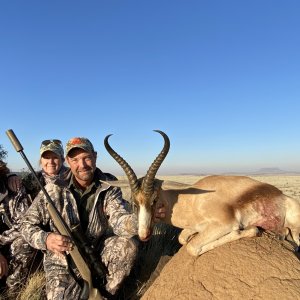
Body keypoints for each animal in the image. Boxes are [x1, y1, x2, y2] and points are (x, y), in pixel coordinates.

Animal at [102, 131, 300, 255]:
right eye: (134, 202)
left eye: (155, 199)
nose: (144, 235)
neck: (192, 202)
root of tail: (281, 195)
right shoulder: (193, 227)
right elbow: (183, 239)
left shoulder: (225, 224)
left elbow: (192, 247)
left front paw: (249, 230)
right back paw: (281, 233)